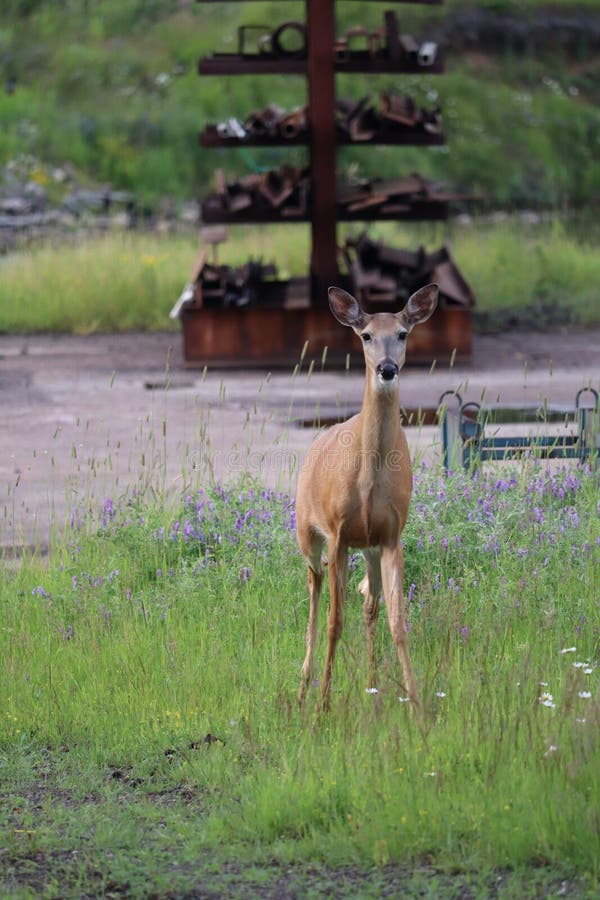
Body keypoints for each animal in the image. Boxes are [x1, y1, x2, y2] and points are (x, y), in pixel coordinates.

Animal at [298, 282, 438, 712]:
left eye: (403, 334)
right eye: (366, 336)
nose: (387, 368)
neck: (368, 479)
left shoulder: (391, 535)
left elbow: (397, 622)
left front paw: (417, 705)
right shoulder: (338, 533)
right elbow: (333, 622)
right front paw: (323, 706)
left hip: (370, 549)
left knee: (368, 599)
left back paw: (372, 686)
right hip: (306, 533)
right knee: (314, 591)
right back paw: (303, 686)